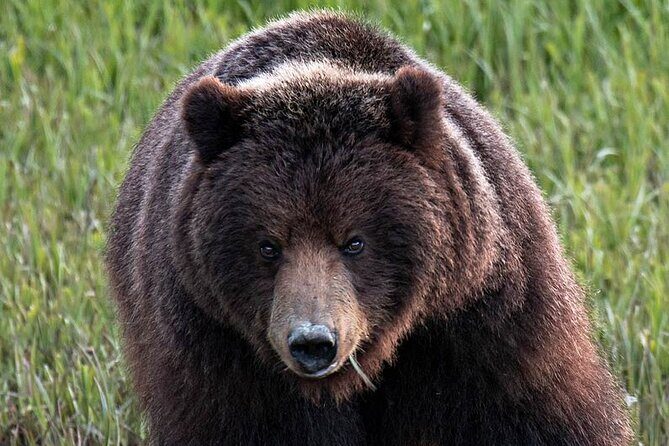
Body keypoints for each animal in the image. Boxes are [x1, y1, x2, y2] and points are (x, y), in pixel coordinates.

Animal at [106, 11, 633, 446]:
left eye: (355, 241)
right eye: (268, 245)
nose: (313, 343)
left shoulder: (481, 321)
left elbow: (535, 413)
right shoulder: (218, 352)